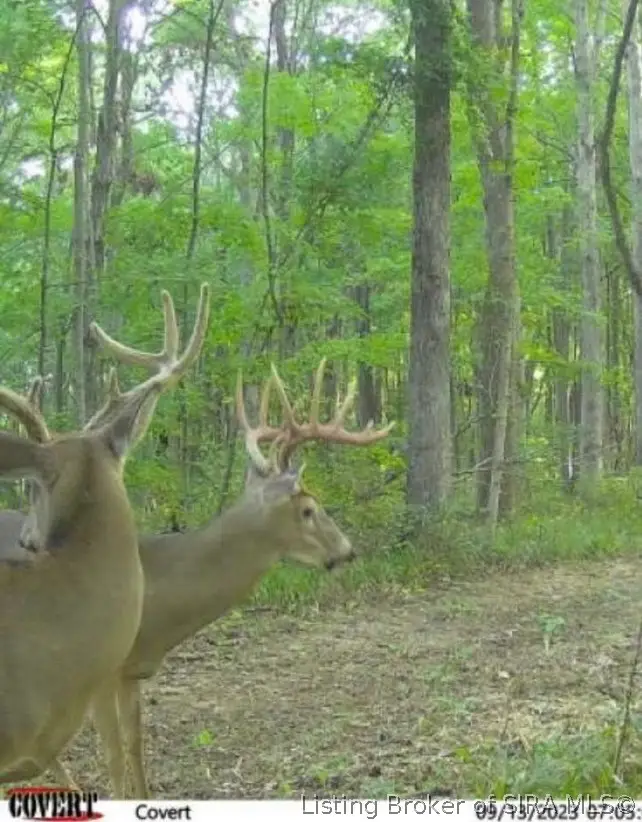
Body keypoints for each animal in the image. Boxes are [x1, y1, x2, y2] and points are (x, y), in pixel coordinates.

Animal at [0, 356, 394, 798]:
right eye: (308, 509)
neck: (158, 596)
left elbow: (135, 745)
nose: (347, 549)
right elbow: (114, 755)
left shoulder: (132, 673)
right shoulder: (102, 675)